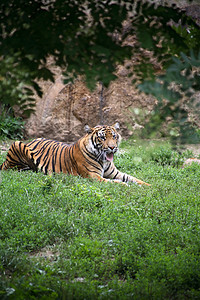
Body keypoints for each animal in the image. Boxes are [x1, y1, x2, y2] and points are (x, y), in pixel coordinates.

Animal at [0, 122, 150, 185]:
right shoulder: (93, 176)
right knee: (12, 169)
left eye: (114, 136)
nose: (112, 147)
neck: (103, 159)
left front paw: (150, 186)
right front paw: (123, 185)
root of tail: (32, 140)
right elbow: (114, 182)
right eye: (102, 138)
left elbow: (135, 179)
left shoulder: (116, 173)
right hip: (16, 144)